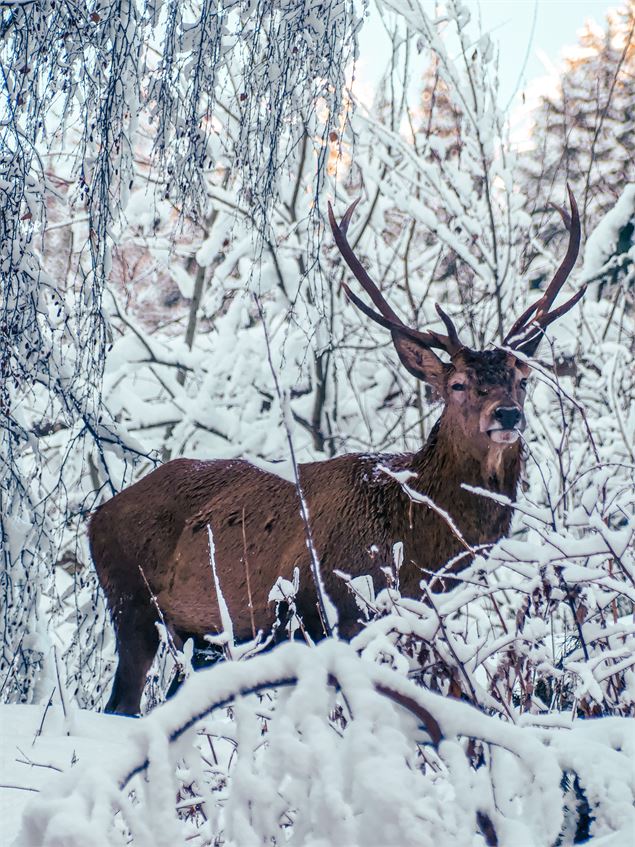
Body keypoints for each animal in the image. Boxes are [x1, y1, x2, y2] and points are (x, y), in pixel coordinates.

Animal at [90, 190, 583, 715]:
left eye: (523, 378)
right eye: (458, 384)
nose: (507, 414)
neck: (415, 541)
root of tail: (96, 515)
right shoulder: (324, 607)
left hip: (202, 639)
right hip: (132, 603)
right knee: (120, 703)